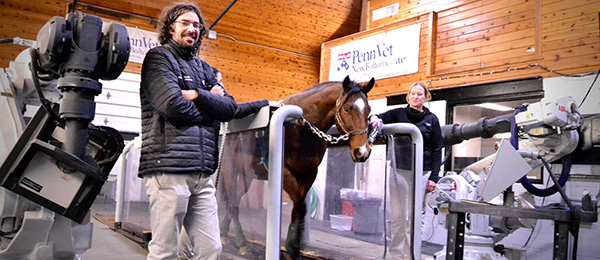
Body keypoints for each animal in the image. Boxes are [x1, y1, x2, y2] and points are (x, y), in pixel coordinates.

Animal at [218, 75, 372, 258]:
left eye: (368, 110)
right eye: (347, 108)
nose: (362, 151)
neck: (301, 128)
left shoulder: (309, 173)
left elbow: (299, 208)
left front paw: (294, 245)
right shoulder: (285, 172)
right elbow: (300, 204)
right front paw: (292, 245)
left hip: (246, 175)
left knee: (233, 199)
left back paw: (224, 232)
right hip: (229, 168)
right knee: (232, 202)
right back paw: (242, 242)